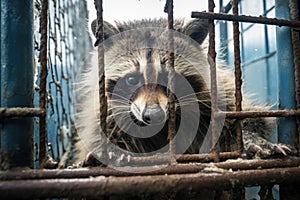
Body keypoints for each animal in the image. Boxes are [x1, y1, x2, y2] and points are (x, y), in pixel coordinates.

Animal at [74, 18, 294, 166]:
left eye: (169, 78)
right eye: (131, 80)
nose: (153, 115)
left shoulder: (219, 94)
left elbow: (249, 118)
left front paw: (250, 137)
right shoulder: (103, 114)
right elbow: (98, 135)